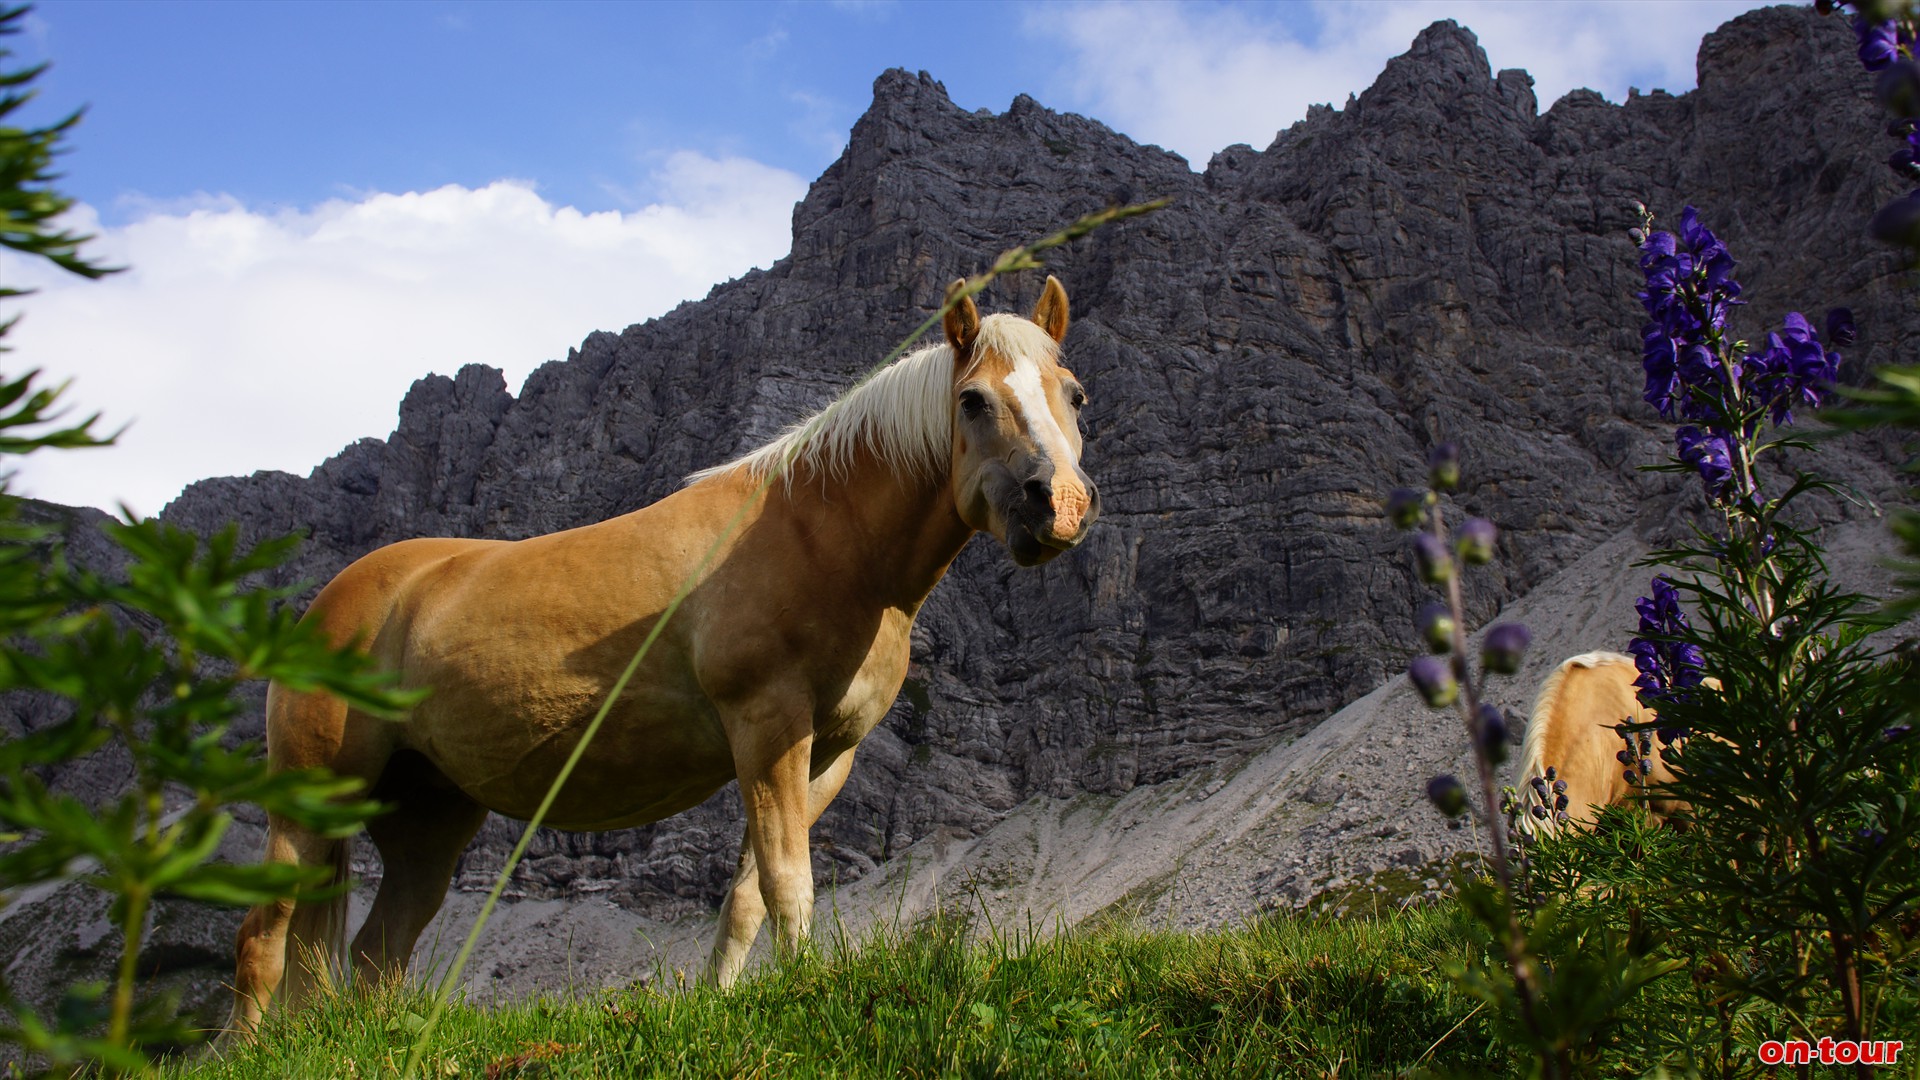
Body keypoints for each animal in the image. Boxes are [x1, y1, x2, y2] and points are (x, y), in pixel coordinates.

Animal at [222, 276, 1098, 1037]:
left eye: (1074, 393)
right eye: (974, 400)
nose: (1058, 505)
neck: (818, 537)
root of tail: (338, 599)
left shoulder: (825, 755)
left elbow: (748, 895)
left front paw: (726, 1001)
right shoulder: (765, 727)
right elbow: (788, 880)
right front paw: (807, 991)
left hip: (427, 816)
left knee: (378, 952)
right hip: (311, 798)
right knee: (265, 936)